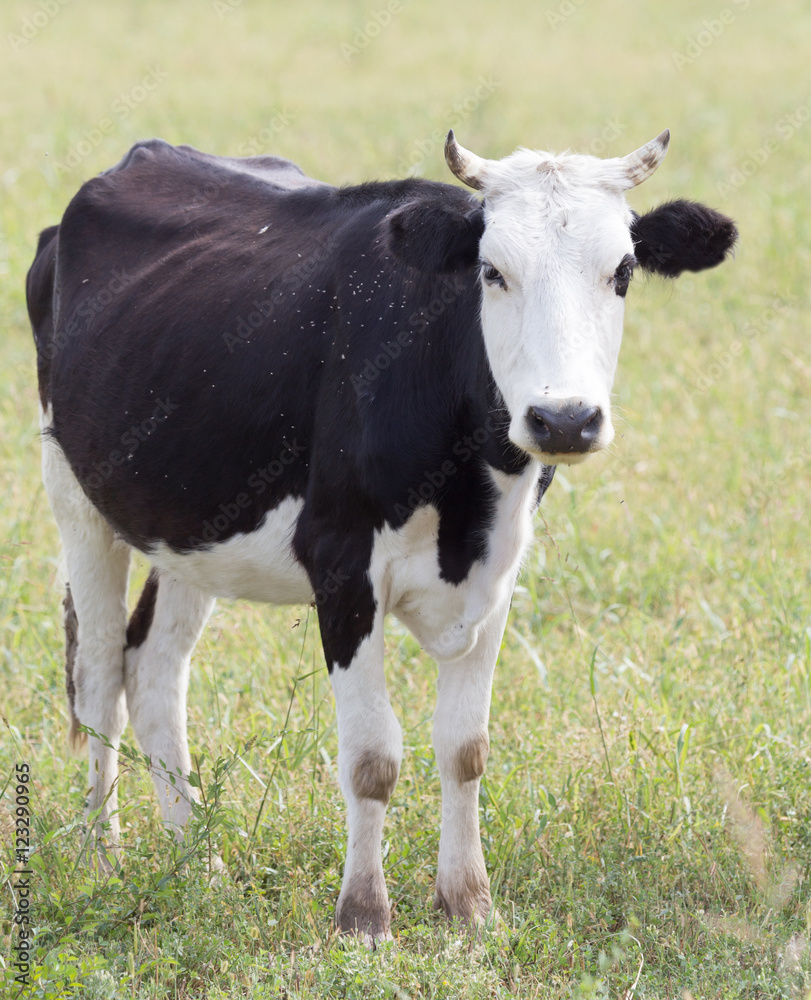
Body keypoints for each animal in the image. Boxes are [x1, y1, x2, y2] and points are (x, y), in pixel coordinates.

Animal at [25, 129, 740, 940]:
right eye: (492, 271)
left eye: (621, 272)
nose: (564, 420)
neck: (466, 496)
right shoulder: (341, 568)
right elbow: (372, 757)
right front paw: (363, 914)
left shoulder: (499, 570)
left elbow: (464, 748)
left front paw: (469, 904)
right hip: (76, 498)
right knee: (97, 678)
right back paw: (101, 859)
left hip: (187, 522)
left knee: (152, 671)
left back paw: (197, 866)